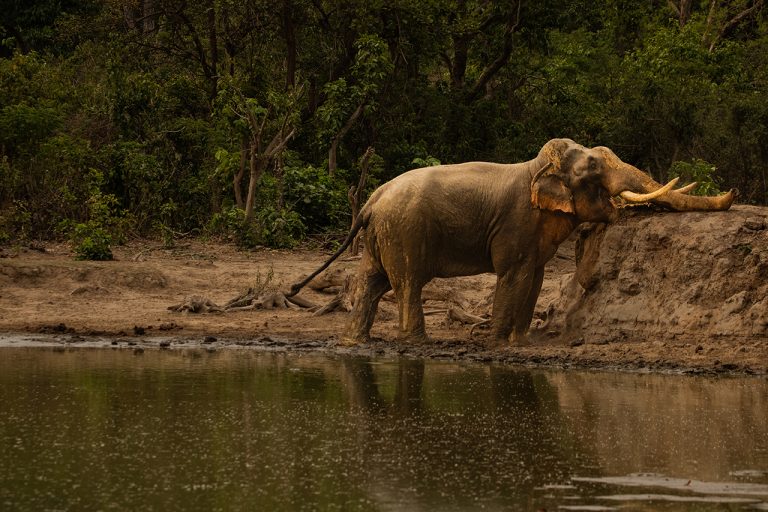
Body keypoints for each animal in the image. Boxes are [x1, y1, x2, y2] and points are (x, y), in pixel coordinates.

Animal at [288, 138, 735, 345]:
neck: (538, 166)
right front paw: (497, 344)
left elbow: (534, 279)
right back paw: (416, 341)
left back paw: (355, 340)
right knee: (408, 284)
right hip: (404, 232)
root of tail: (371, 200)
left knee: (372, 282)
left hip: (380, 236)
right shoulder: (516, 223)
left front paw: (521, 342)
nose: (731, 194)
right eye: (593, 169)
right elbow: (512, 275)